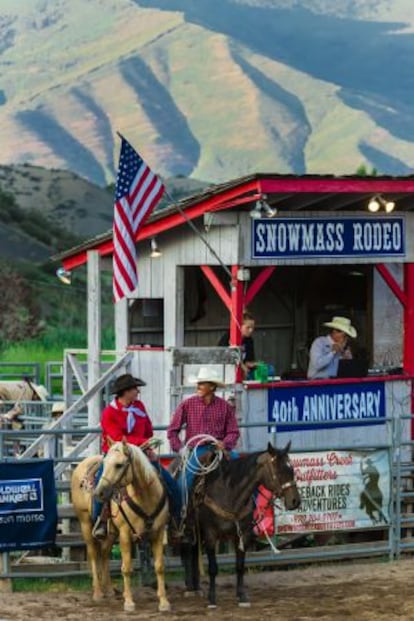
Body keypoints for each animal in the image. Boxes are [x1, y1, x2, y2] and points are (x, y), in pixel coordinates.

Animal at [71, 440, 170, 612]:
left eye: (119, 465)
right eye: (105, 464)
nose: (99, 492)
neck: (145, 499)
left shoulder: (158, 533)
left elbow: (159, 567)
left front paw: (164, 602)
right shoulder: (125, 535)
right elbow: (126, 568)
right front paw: (129, 602)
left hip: (111, 533)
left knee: (104, 554)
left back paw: (109, 589)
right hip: (85, 523)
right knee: (93, 554)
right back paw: (98, 592)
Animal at [183, 440, 300, 604]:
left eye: (292, 470)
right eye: (278, 472)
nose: (295, 501)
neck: (229, 495)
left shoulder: (242, 535)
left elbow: (239, 566)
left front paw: (242, 596)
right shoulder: (210, 535)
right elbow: (213, 568)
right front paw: (212, 599)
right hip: (193, 529)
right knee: (190, 551)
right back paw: (191, 588)